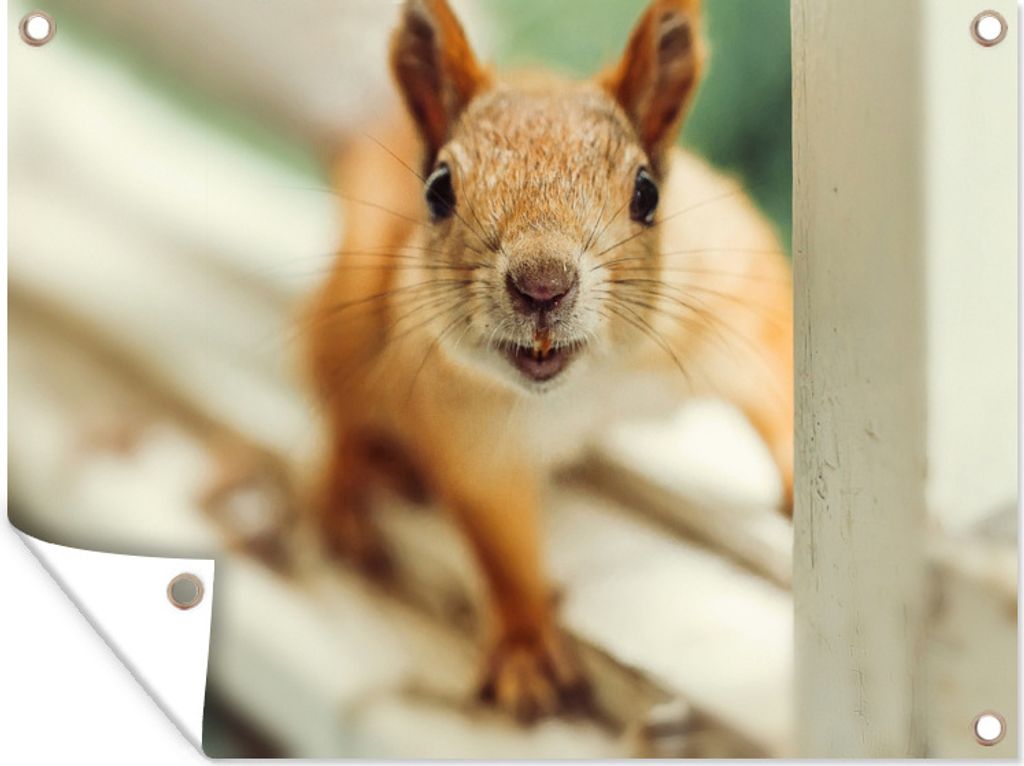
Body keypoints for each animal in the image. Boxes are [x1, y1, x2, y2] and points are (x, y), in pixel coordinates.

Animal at [305, 0, 792, 723]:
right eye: (438, 190)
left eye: (647, 192)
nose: (542, 285)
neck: (589, 383)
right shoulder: (467, 425)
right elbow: (500, 541)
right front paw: (526, 647)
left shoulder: (741, 309)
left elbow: (782, 403)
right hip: (346, 322)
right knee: (342, 408)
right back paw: (349, 488)